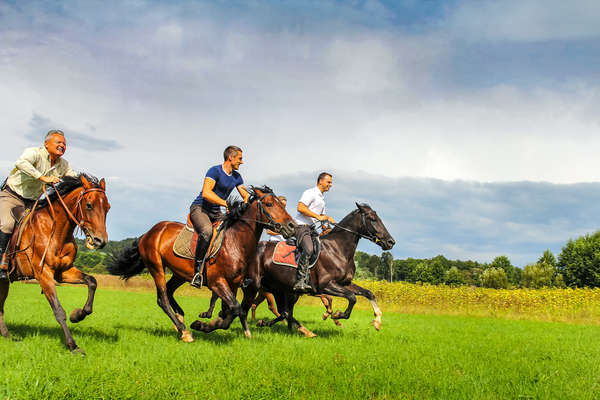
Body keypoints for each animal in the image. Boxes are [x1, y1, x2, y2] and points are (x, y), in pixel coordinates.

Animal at [0, 175, 110, 354]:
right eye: (89, 205)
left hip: (3, 281)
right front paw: (73, 345)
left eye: (108, 207)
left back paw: (7, 336)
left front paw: (77, 315)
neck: (55, 229)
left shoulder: (63, 271)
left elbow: (92, 281)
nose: (100, 241)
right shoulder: (44, 274)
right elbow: (58, 310)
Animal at [109, 187, 296, 340]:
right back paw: (184, 330)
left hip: (180, 273)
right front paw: (202, 325)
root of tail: (148, 232)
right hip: (156, 267)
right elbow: (235, 308)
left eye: (282, 204)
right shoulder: (217, 282)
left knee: (169, 291)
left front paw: (213, 324)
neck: (235, 242)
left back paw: (180, 318)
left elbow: (231, 310)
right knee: (162, 298)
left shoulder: (234, 284)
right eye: (269, 204)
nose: (292, 226)